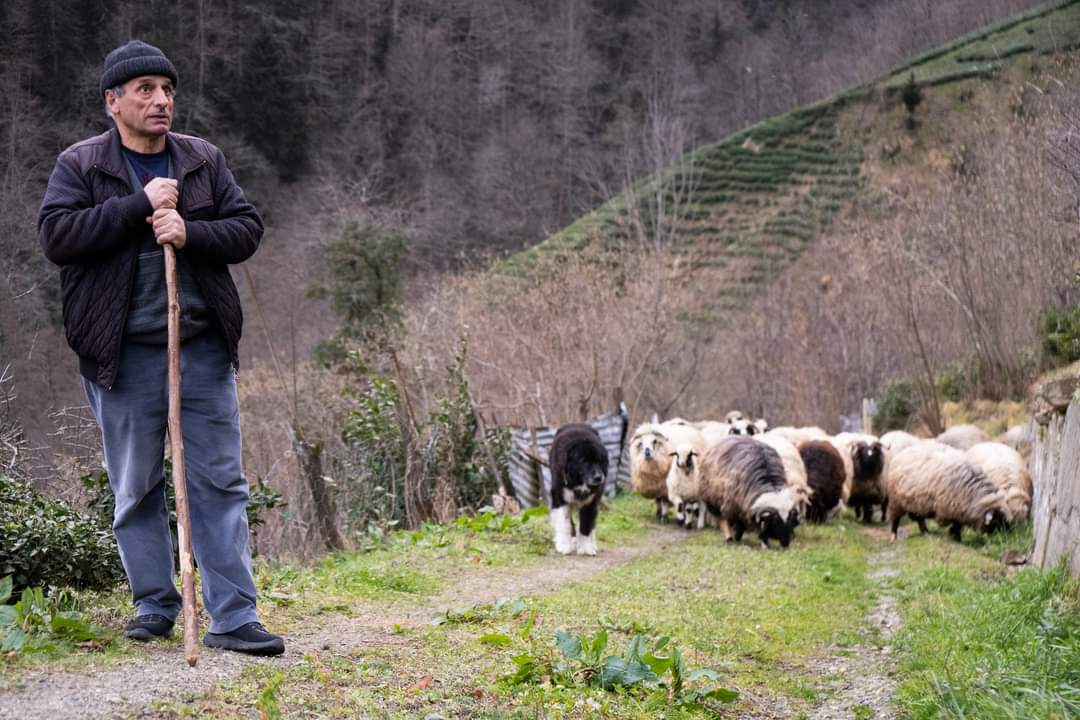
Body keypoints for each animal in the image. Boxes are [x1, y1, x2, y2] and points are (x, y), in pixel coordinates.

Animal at [548, 423, 609, 557]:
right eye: (583, 461)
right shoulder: (560, 499)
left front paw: (586, 548)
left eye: (599, 460)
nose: (599, 477)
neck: (578, 483)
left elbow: (586, 525)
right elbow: (565, 523)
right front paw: (564, 546)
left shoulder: (591, 503)